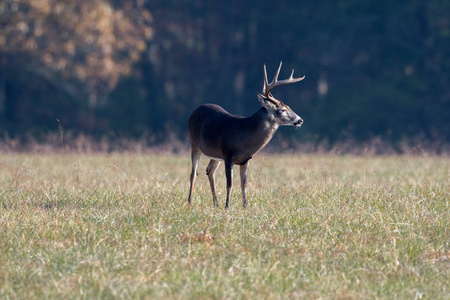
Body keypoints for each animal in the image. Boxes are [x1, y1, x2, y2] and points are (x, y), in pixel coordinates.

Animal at [186, 62, 306, 209]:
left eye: (289, 107)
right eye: (283, 109)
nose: (300, 120)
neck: (244, 135)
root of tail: (195, 110)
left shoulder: (246, 159)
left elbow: (244, 185)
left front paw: (245, 206)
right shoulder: (228, 155)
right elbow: (229, 183)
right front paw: (227, 206)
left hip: (215, 154)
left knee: (210, 171)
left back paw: (216, 203)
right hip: (195, 144)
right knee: (193, 173)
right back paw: (190, 202)